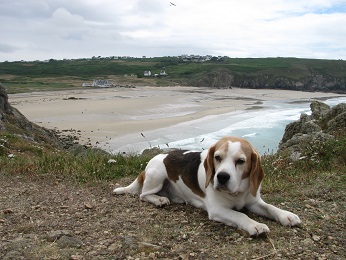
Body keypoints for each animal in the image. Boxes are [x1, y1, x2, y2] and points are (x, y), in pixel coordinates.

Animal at [113, 136, 300, 236]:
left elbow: (270, 207)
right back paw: (159, 199)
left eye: (240, 161)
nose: (222, 177)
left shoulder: (254, 202)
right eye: (217, 157)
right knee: (143, 195)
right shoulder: (218, 210)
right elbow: (240, 215)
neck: (237, 193)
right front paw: (255, 225)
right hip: (157, 174)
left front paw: (286, 215)